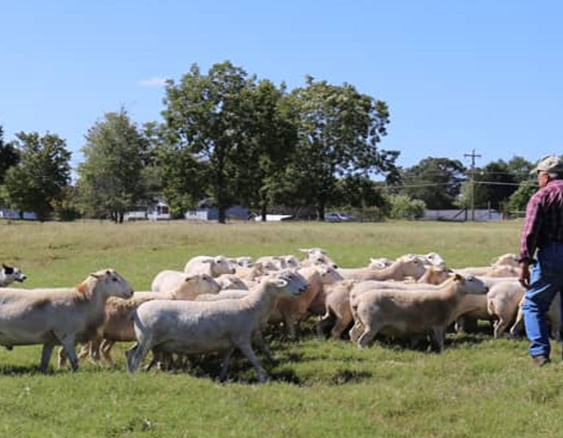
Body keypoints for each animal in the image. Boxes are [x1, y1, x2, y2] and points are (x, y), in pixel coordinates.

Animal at [125, 268, 308, 382]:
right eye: (288, 278)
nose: (303, 289)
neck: (250, 306)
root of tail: (136, 311)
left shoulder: (229, 344)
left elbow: (225, 362)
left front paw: (222, 377)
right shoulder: (242, 339)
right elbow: (253, 358)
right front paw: (263, 377)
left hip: (145, 339)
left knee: (130, 353)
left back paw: (130, 372)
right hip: (147, 339)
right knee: (137, 357)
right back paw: (134, 375)